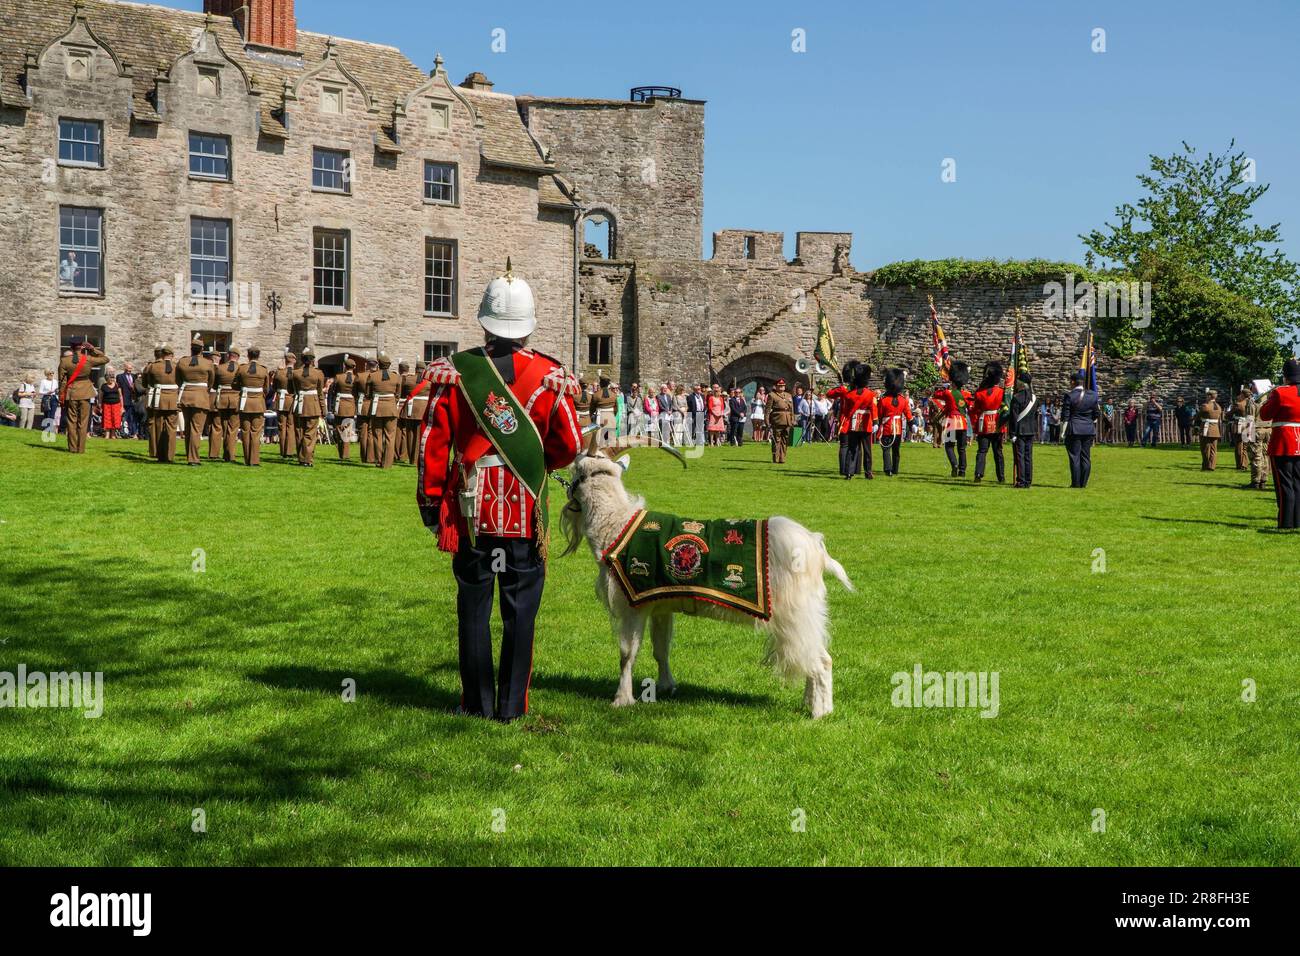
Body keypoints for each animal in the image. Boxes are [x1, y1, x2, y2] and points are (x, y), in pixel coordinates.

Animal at [559, 447, 852, 717]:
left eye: (575, 470)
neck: (616, 524)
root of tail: (816, 548)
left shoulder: (633, 602)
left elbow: (627, 653)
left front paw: (621, 699)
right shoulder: (660, 603)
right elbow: (661, 648)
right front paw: (666, 686)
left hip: (796, 615)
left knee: (821, 661)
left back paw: (818, 713)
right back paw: (814, 705)